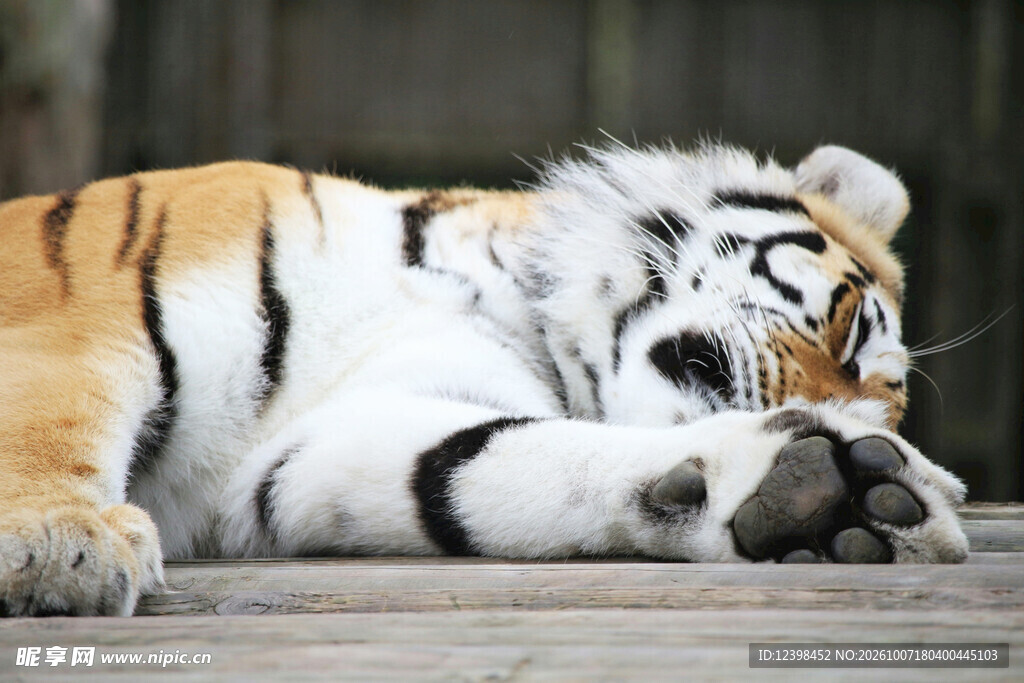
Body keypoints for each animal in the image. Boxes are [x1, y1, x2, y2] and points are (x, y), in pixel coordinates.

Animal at [0, 141, 969, 617]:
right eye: (853, 337)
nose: (820, 410)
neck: (519, 310)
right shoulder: (96, 320)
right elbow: (50, 418)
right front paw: (58, 541)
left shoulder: (309, 452)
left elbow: (485, 461)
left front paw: (822, 492)